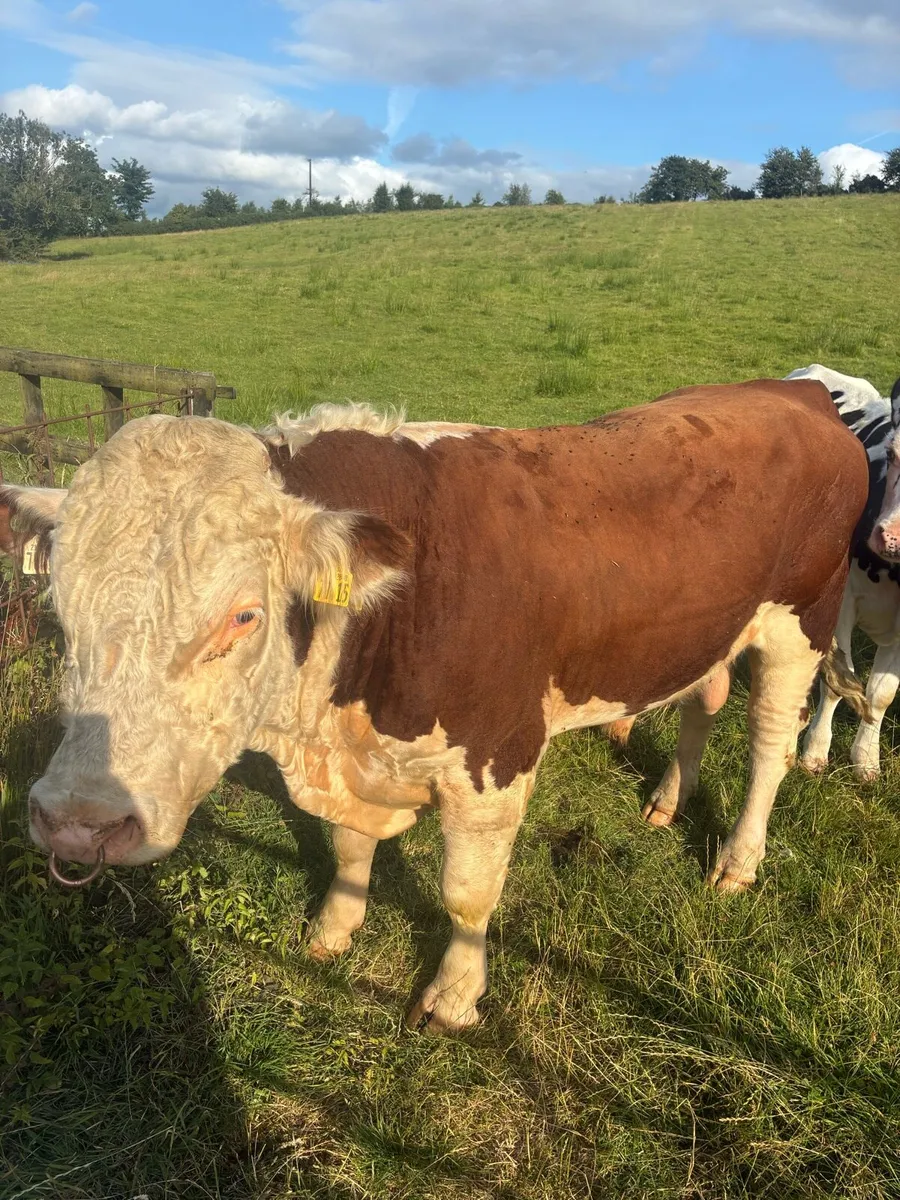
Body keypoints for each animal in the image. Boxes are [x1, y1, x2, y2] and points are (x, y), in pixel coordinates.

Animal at [1, 379, 868, 1032]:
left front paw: (454, 995)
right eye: (58, 603)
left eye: (242, 615)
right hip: (710, 630)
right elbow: (349, 849)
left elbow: (467, 892)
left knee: (768, 745)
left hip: (802, 624)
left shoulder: (496, 759)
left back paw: (738, 860)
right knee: (702, 703)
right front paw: (332, 929)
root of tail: (793, 391)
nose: (78, 821)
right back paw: (665, 800)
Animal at [789, 365, 900, 780]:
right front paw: (814, 752)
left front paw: (866, 758)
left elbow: (880, 693)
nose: (891, 537)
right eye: (893, 453)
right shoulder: (845, 601)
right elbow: (838, 681)